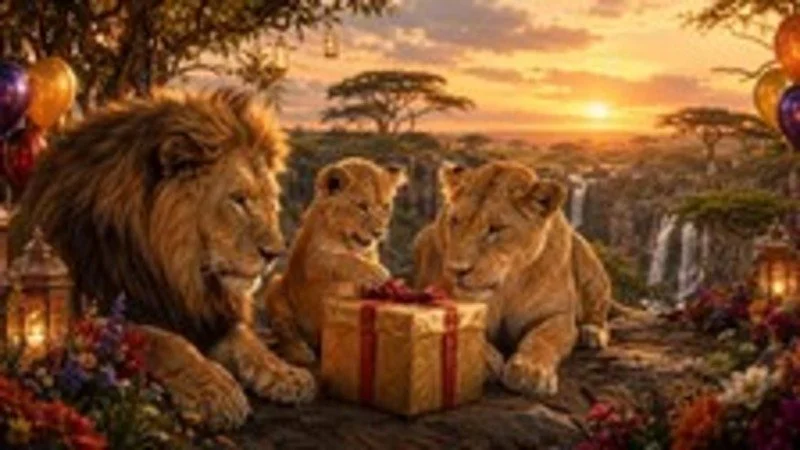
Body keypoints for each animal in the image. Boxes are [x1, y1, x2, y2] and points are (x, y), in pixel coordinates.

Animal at [10, 89, 316, 430]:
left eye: (269, 201)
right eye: (238, 200)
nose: (275, 253)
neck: (172, 270)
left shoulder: (205, 313)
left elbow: (246, 339)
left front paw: (285, 373)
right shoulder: (83, 313)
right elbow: (164, 341)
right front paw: (217, 390)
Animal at [265, 157, 407, 366]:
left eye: (386, 207)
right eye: (362, 206)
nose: (378, 233)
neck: (347, 241)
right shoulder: (312, 261)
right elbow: (340, 259)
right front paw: (376, 273)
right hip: (275, 286)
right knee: (285, 330)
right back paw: (300, 352)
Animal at [413, 160, 618, 397]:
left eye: (495, 229)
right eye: (454, 221)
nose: (456, 270)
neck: (506, 287)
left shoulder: (558, 315)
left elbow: (543, 338)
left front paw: (531, 371)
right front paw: (485, 361)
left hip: (587, 259)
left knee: (599, 308)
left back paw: (592, 332)